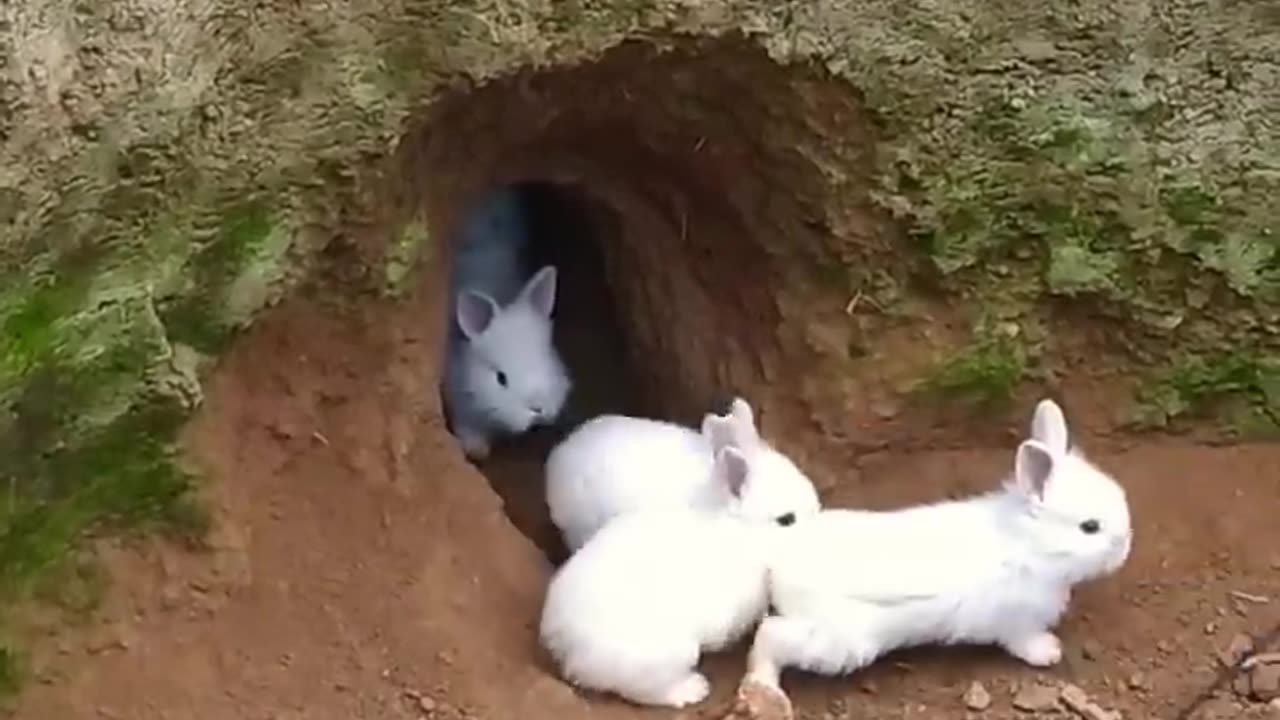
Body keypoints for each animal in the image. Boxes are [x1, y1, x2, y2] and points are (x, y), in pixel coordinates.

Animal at [742, 392, 1131, 702]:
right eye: (1090, 527)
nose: (1125, 544)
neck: (1030, 543)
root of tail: (778, 562)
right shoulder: (1014, 622)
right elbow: (1022, 641)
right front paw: (1048, 653)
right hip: (838, 639)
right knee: (769, 636)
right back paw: (765, 687)